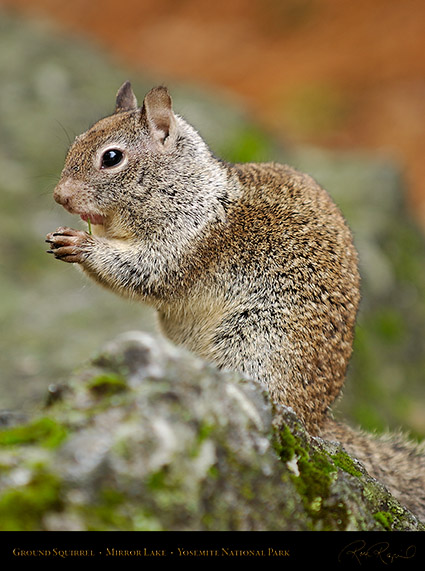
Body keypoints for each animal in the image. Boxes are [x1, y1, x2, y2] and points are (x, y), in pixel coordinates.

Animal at [47, 82, 424, 520]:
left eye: (111, 157)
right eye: (76, 141)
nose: (59, 196)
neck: (189, 189)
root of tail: (317, 421)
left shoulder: (184, 244)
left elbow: (143, 272)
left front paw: (81, 244)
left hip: (252, 342)